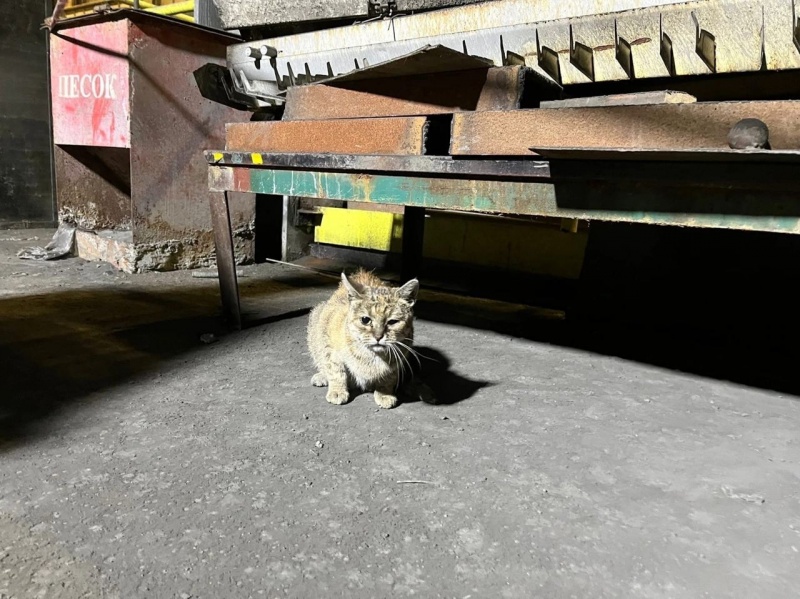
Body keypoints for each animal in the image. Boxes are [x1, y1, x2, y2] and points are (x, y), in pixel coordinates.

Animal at [307, 269, 422, 409]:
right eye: (365, 320)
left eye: (392, 322)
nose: (378, 336)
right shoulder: (329, 343)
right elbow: (336, 370)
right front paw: (337, 390)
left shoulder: (399, 358)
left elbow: (389, 377)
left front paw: (384, 393)